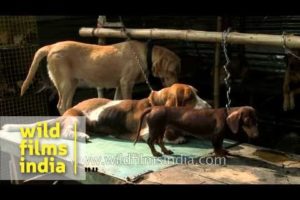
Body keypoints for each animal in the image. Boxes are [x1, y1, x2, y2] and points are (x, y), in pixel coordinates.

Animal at [21, 39, 182, 114]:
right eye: (173, 71)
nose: (177, 85)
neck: (145, 55)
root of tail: (52, 46)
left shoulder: (119, 85)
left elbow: (117, 100)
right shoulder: (126, 82)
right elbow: (128, 99)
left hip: (72, 84)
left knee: (65, 104)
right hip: (65, 84)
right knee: (61, 105)